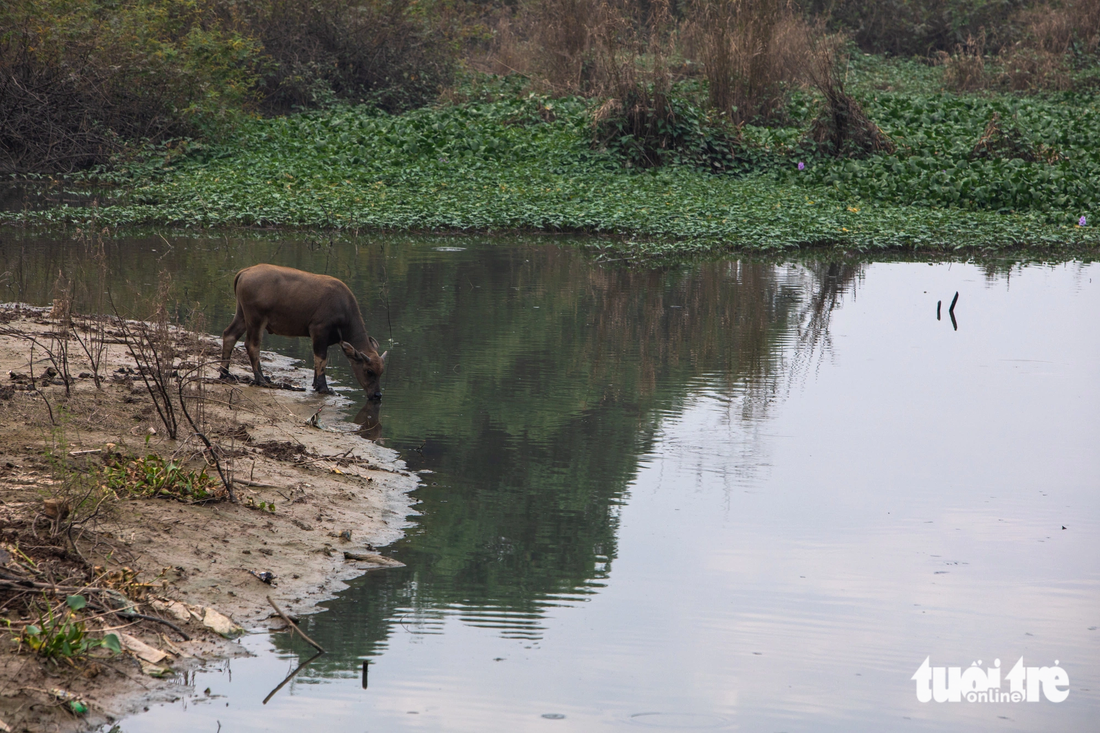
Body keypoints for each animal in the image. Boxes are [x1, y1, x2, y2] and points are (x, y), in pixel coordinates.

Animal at [218, 263, 387, 396]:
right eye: (369, 371)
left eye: (381, 372)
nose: (377, 395)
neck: (343, 307)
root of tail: (245, 271)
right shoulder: (319, 330)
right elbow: (321, 358)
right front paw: (323, 387)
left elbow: (319, 361)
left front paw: (316, 384)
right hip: (256, 319)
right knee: (252, 345)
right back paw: (260, 379)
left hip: (242, 314)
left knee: (229, 335)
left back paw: (225, 373)